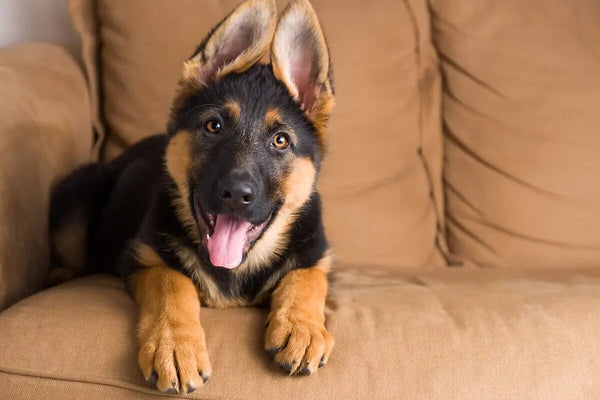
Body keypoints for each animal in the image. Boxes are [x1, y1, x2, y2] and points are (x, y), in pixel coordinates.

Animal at [47, 0, 336, 394]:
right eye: (214, 126)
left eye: (281, 141)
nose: (236, 194)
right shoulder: (144, 258)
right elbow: (173, 283)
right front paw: (173, 346)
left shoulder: (317, 255)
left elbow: (306, 278)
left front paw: (301, 328)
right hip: (79, 192)